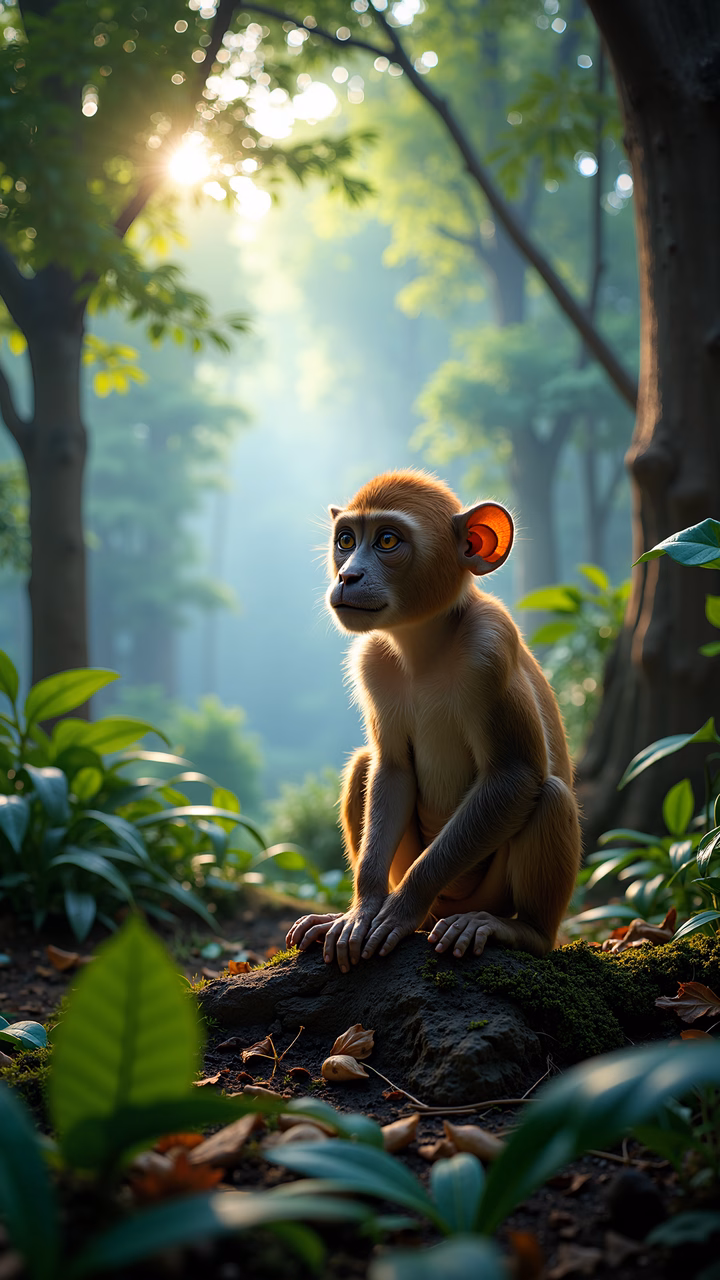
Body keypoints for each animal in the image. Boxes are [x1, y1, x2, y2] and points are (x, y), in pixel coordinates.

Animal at [286, 469, 581, 975]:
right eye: (346, 540)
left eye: (387, 540)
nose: (347, 575)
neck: (424, 645)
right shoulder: (371, 662)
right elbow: (391, 769)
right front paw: (363, 910)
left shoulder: (490, 646)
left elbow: (515, 776)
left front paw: (402, 906)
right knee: (363, 766)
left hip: (486, 893)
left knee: (550, 795)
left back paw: (520, 930)